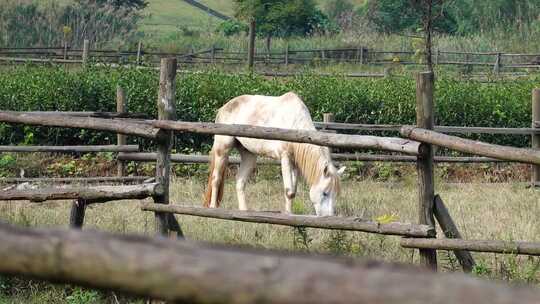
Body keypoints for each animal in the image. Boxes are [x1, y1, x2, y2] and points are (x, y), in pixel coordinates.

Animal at [205, 91, 344, 215]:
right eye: (325, 193)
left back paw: (243, 211)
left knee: (240, 181)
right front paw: (288, 214)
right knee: (216, 179)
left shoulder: (295, 162)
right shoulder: (285, 157)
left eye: (336, 194)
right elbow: (289, 191)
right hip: (222, 149)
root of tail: (223, 108)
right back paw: (213, 208)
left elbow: (293, 191)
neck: (294, 123)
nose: (329, 217)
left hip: (249, 155)